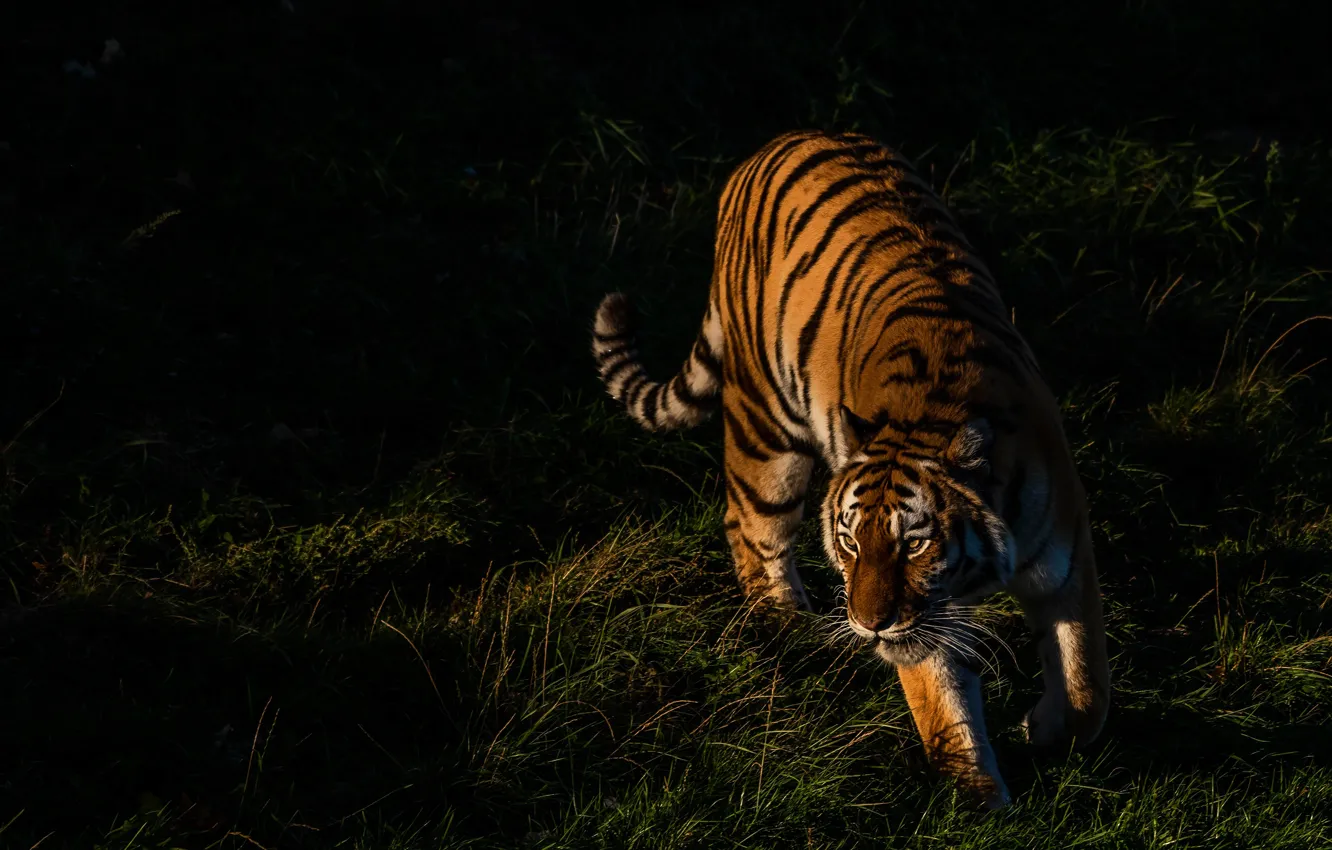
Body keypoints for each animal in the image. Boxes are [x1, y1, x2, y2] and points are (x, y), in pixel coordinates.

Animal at [589, 129, 1110, 808]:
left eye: (914, 543)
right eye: (849, 542)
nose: (867, 624)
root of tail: (772, 146)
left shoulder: (1065, 559)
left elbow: (1085, 684)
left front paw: (1046, 730)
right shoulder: (922, 626)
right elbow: (944, 706)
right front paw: (977, 802)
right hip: (767, 430)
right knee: (750, 526)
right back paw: (786, 627)